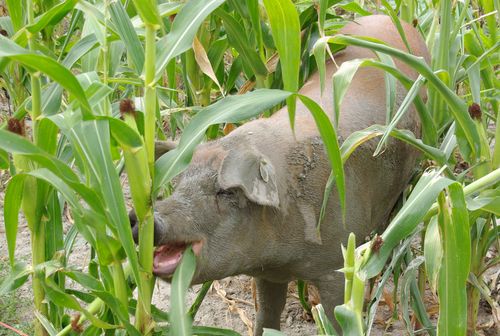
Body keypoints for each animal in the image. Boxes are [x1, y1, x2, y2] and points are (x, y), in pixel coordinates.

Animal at [129, 14, 430, 334]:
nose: (141, 217)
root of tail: (394, 20)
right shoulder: (268, 271)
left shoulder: (337, 263)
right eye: (180, 184)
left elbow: (338, 315)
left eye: (225, 192)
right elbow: (268, 313)